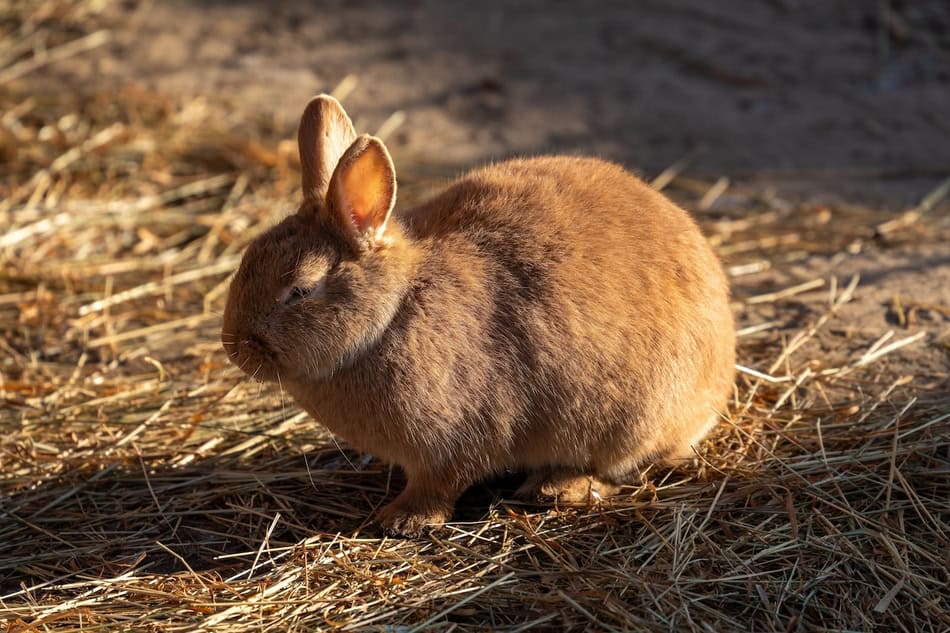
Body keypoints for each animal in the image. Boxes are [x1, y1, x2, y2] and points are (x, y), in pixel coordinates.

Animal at [221, 94, 735, 536]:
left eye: (300, 290)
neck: (393, 313)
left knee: (625, 469)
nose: (234, 349)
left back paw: (557, 488)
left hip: (634, 422)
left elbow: (441, 483)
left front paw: (402, 520)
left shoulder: (457, 440)